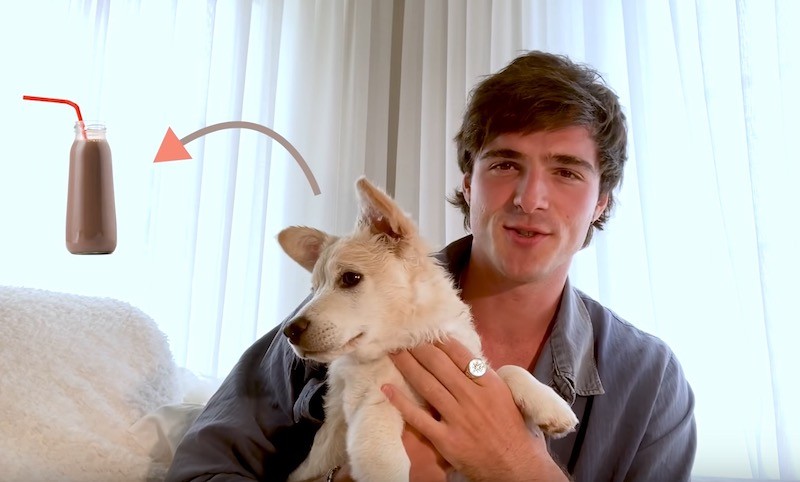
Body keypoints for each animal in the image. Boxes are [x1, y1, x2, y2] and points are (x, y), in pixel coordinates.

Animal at [279, 177, 578, 482]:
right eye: (314, 290)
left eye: (350, 278)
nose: (289, 330)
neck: (406, 339)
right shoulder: (369, 401)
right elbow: (384, 454)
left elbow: (505, 369)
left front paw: (550, 404)